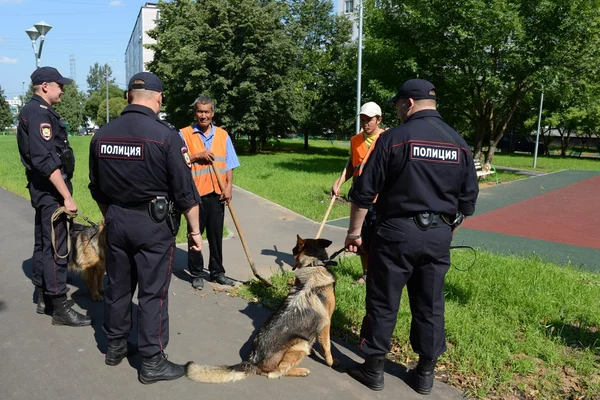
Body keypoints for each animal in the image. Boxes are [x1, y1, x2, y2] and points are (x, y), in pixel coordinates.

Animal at [186, 236, 338, 382]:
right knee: (275, 373)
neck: (313, 266)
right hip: (301, 344)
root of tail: (253, 362)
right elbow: (327, 346)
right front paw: (331, 362)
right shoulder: (326, 323)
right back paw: (301, 371)